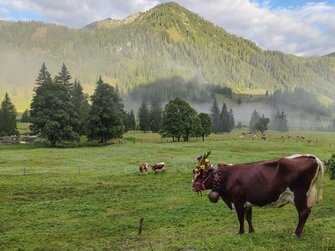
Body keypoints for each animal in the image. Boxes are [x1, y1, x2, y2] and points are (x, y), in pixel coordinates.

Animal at [193, 154, 324, 236]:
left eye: (203, 174)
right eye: (195, 172)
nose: (193, 186)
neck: (227, 176)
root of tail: (311, 157)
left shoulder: (238, 201)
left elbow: (240, 218)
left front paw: (240, 232)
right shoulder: (247, 202)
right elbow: (248, 217)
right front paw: (251, 231)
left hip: (299, 195)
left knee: (304, 212)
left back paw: (296, 233)